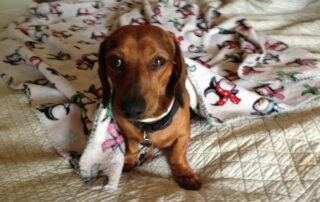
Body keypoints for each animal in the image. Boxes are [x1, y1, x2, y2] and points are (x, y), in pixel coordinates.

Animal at [99, 24, 201, 190]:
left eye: (158, 61)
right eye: (115, 61)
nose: (132, 109)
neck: (150, 123)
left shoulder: (184, 135)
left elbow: (177, 154)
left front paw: (184, 173)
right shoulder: (127, 135)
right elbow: (132, 148)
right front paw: (128, 161)